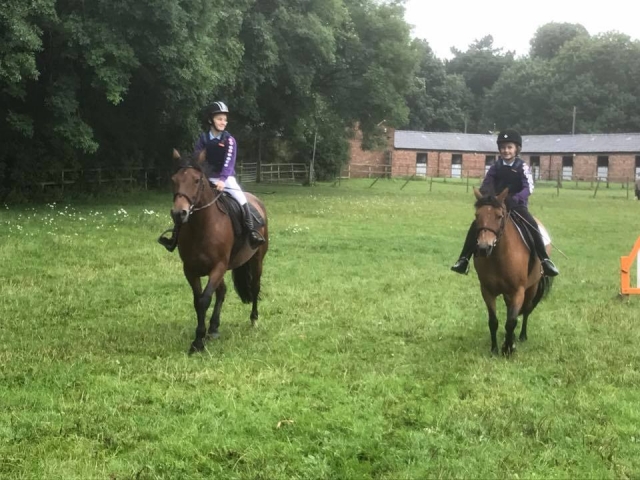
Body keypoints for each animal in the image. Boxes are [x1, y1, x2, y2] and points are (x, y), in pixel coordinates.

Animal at [168, 149, 268, 353]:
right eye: (174, 179)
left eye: (197, 180)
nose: (179, 214)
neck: (203, 227)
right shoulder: (190, 270)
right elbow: (198, 300)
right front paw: (202, 335)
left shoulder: (218, 267)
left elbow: (204, 299)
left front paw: (198, 342)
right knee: (222, 292)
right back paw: (214, 328)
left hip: (257, 260)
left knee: (255, 287)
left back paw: (253, 320)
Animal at [472, 187, 553, 356]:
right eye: (477, 215)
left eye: (499, 216)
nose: (483, 247)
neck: (499, 257)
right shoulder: (487, 291)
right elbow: (493, 321)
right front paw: (494, 349)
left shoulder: (518, 291)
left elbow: (511, 321)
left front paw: (508, 348)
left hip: (532, 287)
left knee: (526, 310)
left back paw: (521, 336)